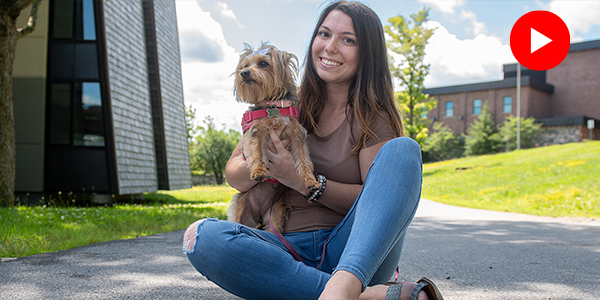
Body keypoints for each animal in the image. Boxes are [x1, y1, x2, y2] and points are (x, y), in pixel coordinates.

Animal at [226, 42, 318, 234]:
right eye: (245, 66)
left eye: (263, 64)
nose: (244, 73)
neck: (273, 105)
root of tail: (259, 212)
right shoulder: (256, 132)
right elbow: (257, 153)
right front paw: (258, 171)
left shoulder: (297, 136)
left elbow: (304, 160)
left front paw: (311, 181)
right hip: (241, 208)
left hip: (275, 211)